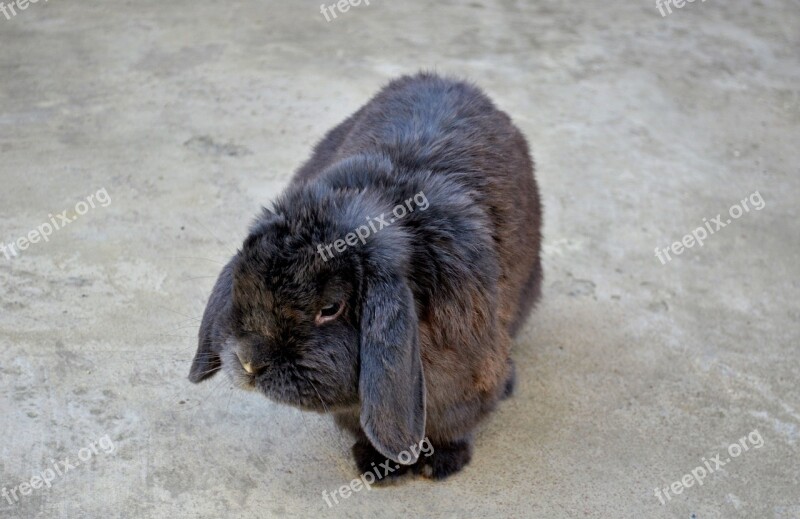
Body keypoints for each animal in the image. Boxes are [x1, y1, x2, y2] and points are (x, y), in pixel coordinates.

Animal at [189, 71, 544, 482]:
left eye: (330, 308)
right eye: (243, 285)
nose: (249, 361)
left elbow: (454, 425)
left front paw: (439, 463)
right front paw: (378, 465)